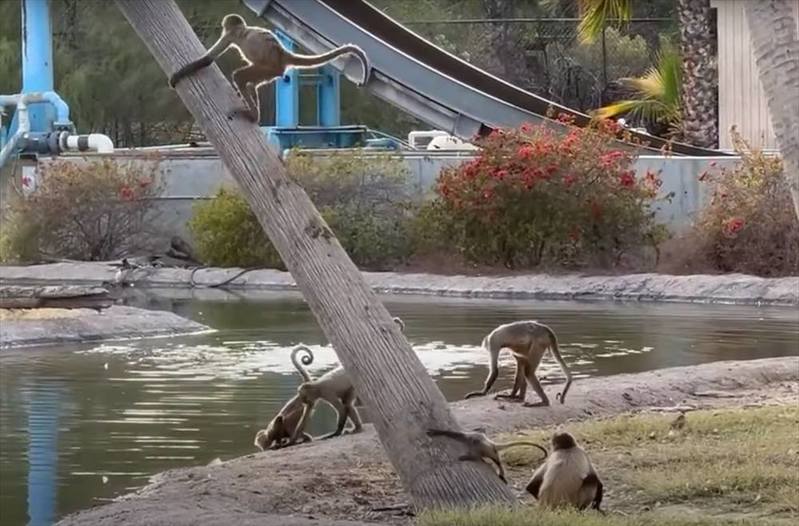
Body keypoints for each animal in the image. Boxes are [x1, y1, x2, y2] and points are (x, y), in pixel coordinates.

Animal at [168, 14, 372, 122]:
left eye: (227, 26)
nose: (224, 26)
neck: (244, 31)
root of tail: (282, 54)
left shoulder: (230, 35)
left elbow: (208, 60)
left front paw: (176, 77)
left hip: (268, 67)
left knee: (240, 76)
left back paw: (253, 115)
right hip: (272, 72)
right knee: (251, 83)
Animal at [424, 426, 552, 484]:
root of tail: (492, 444)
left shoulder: (470, 441)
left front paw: (436, 432)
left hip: (488, 450)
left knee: (495, 461)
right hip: (488, 449)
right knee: (496, 460)